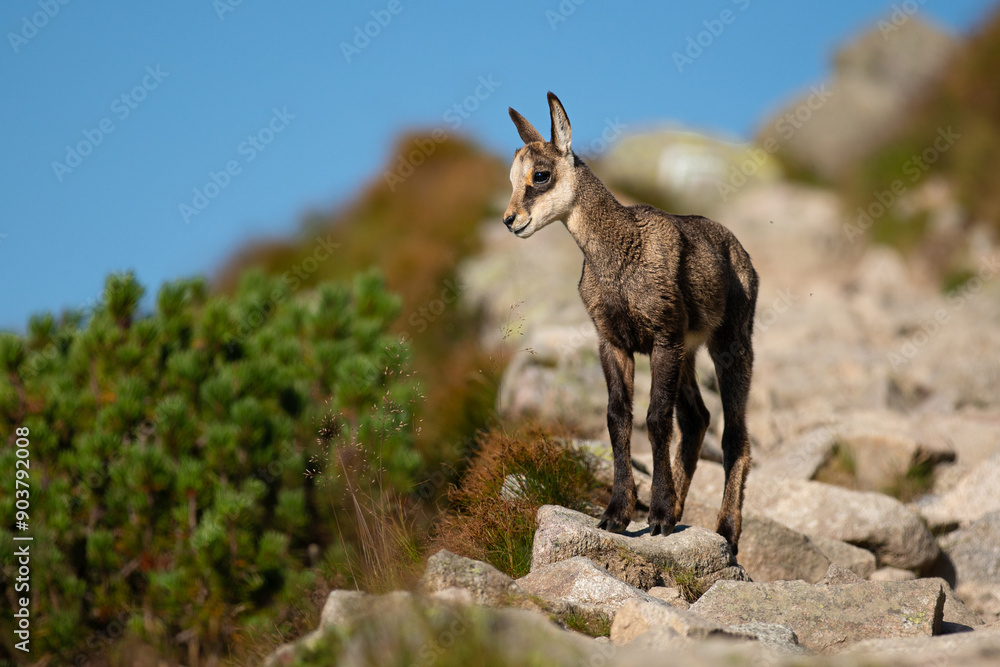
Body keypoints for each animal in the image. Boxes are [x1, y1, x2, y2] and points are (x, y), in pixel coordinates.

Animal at [502, 93, 758, 553]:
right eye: (512, 177)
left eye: (541, 175)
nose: (511, 220)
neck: (619, 254)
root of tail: (741, 254)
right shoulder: (613, 342)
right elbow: (617, 417)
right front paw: (618, 514)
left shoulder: (663, 337)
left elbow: (655, 419)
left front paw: (656, 516)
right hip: (688, 352)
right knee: (697, 419)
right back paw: (679, 509)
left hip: (731, 342)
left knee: (734, 434)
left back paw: (726, 534)